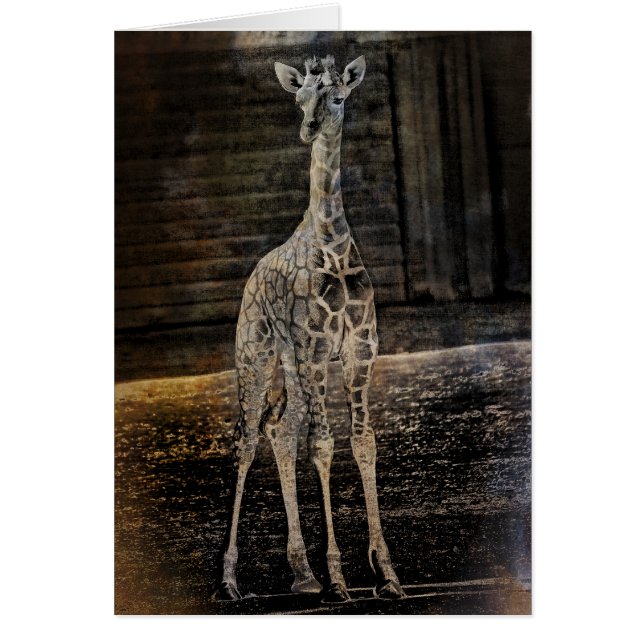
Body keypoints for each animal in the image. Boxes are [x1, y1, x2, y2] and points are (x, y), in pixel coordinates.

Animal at [216, 55, 405, 604]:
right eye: (299, 99)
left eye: (338, 97)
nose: (308, 128)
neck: (334, 242)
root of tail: (252, 276)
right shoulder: (317, 349)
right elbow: (322, 445)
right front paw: (340, 576)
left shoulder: (360, 349)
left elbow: (362, 442)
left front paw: (387, 573)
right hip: (257, 351)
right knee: (246, 438)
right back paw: (231, 580)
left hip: (291, 359)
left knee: (281, 429)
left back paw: (301, 573)